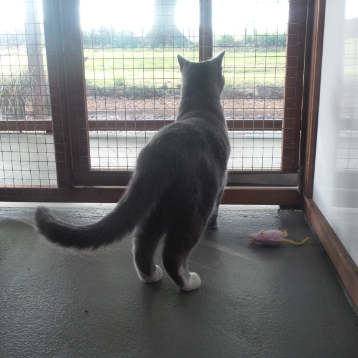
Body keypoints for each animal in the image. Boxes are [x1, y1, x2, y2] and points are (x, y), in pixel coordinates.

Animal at [35, 51, 231, 292]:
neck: (200, 108)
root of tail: (161, 151)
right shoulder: (222, 183)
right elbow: (217, 209)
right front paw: (214, 226)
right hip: (195, 206)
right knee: (174, 252)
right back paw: (189, 282)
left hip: (154, 207)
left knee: (142, 243)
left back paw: (151, 275)